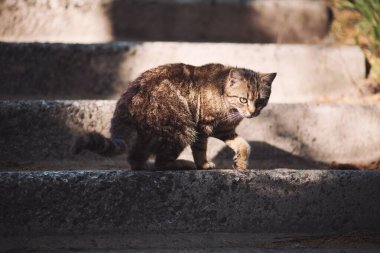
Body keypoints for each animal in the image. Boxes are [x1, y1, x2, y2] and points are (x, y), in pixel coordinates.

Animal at [72, 63, 276, 171]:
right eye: (243, 99)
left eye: (261, 101)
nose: (253, 112)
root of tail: (124, 105)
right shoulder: (202, 127)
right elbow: (200, 150)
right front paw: (203, 165)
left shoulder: (225, 130)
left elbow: (244, 144)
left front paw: (240, 163)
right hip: (182, 127)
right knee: (161, 163)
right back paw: (182, 163)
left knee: (135, 159)